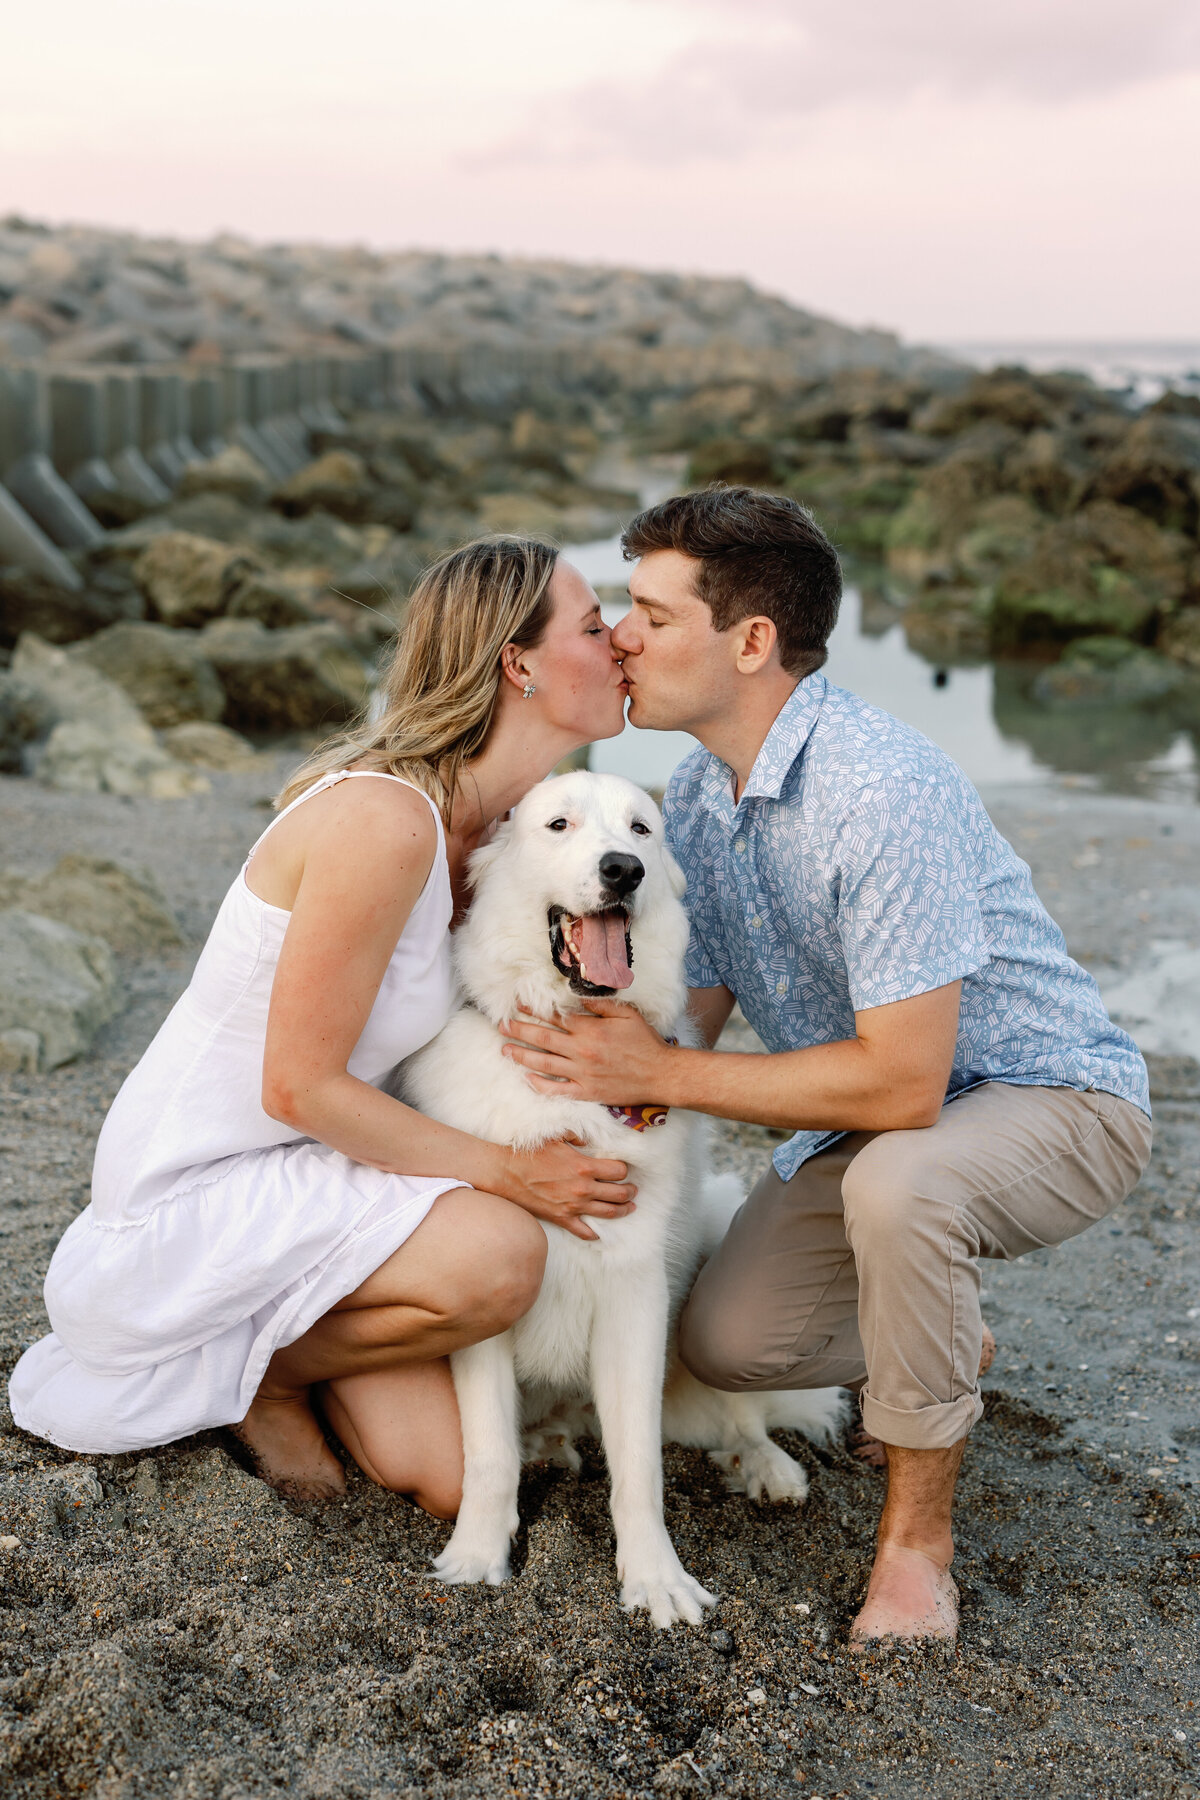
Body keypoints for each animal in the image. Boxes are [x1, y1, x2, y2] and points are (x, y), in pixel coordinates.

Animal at [402, 766, 845, 1627]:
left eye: (642, 829)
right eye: (559, 825)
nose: (623, 871)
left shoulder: (636, 1296)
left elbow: (639, 1465)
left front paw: (655, 1582)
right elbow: (488, 1453)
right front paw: (476, 1559)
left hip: (711, 1241)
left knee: (738, 1414)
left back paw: (766, 1466)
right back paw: (551, 1446)